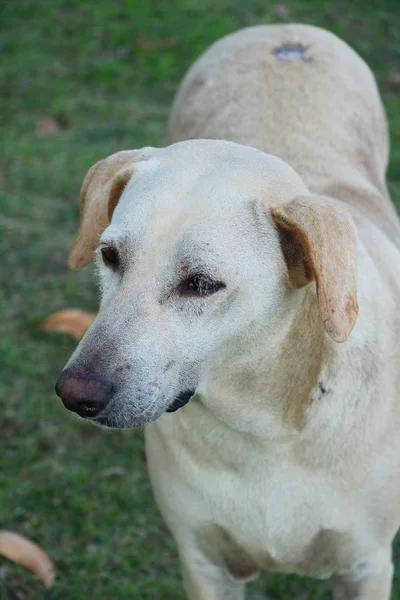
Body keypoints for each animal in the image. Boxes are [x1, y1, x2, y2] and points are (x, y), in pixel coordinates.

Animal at [55, 24, 400, 600]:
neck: (261, 429)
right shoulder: (205, 563)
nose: (75, 394)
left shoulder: (365, 566)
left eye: (200, 284)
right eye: (110, 256)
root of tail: (284, 33)